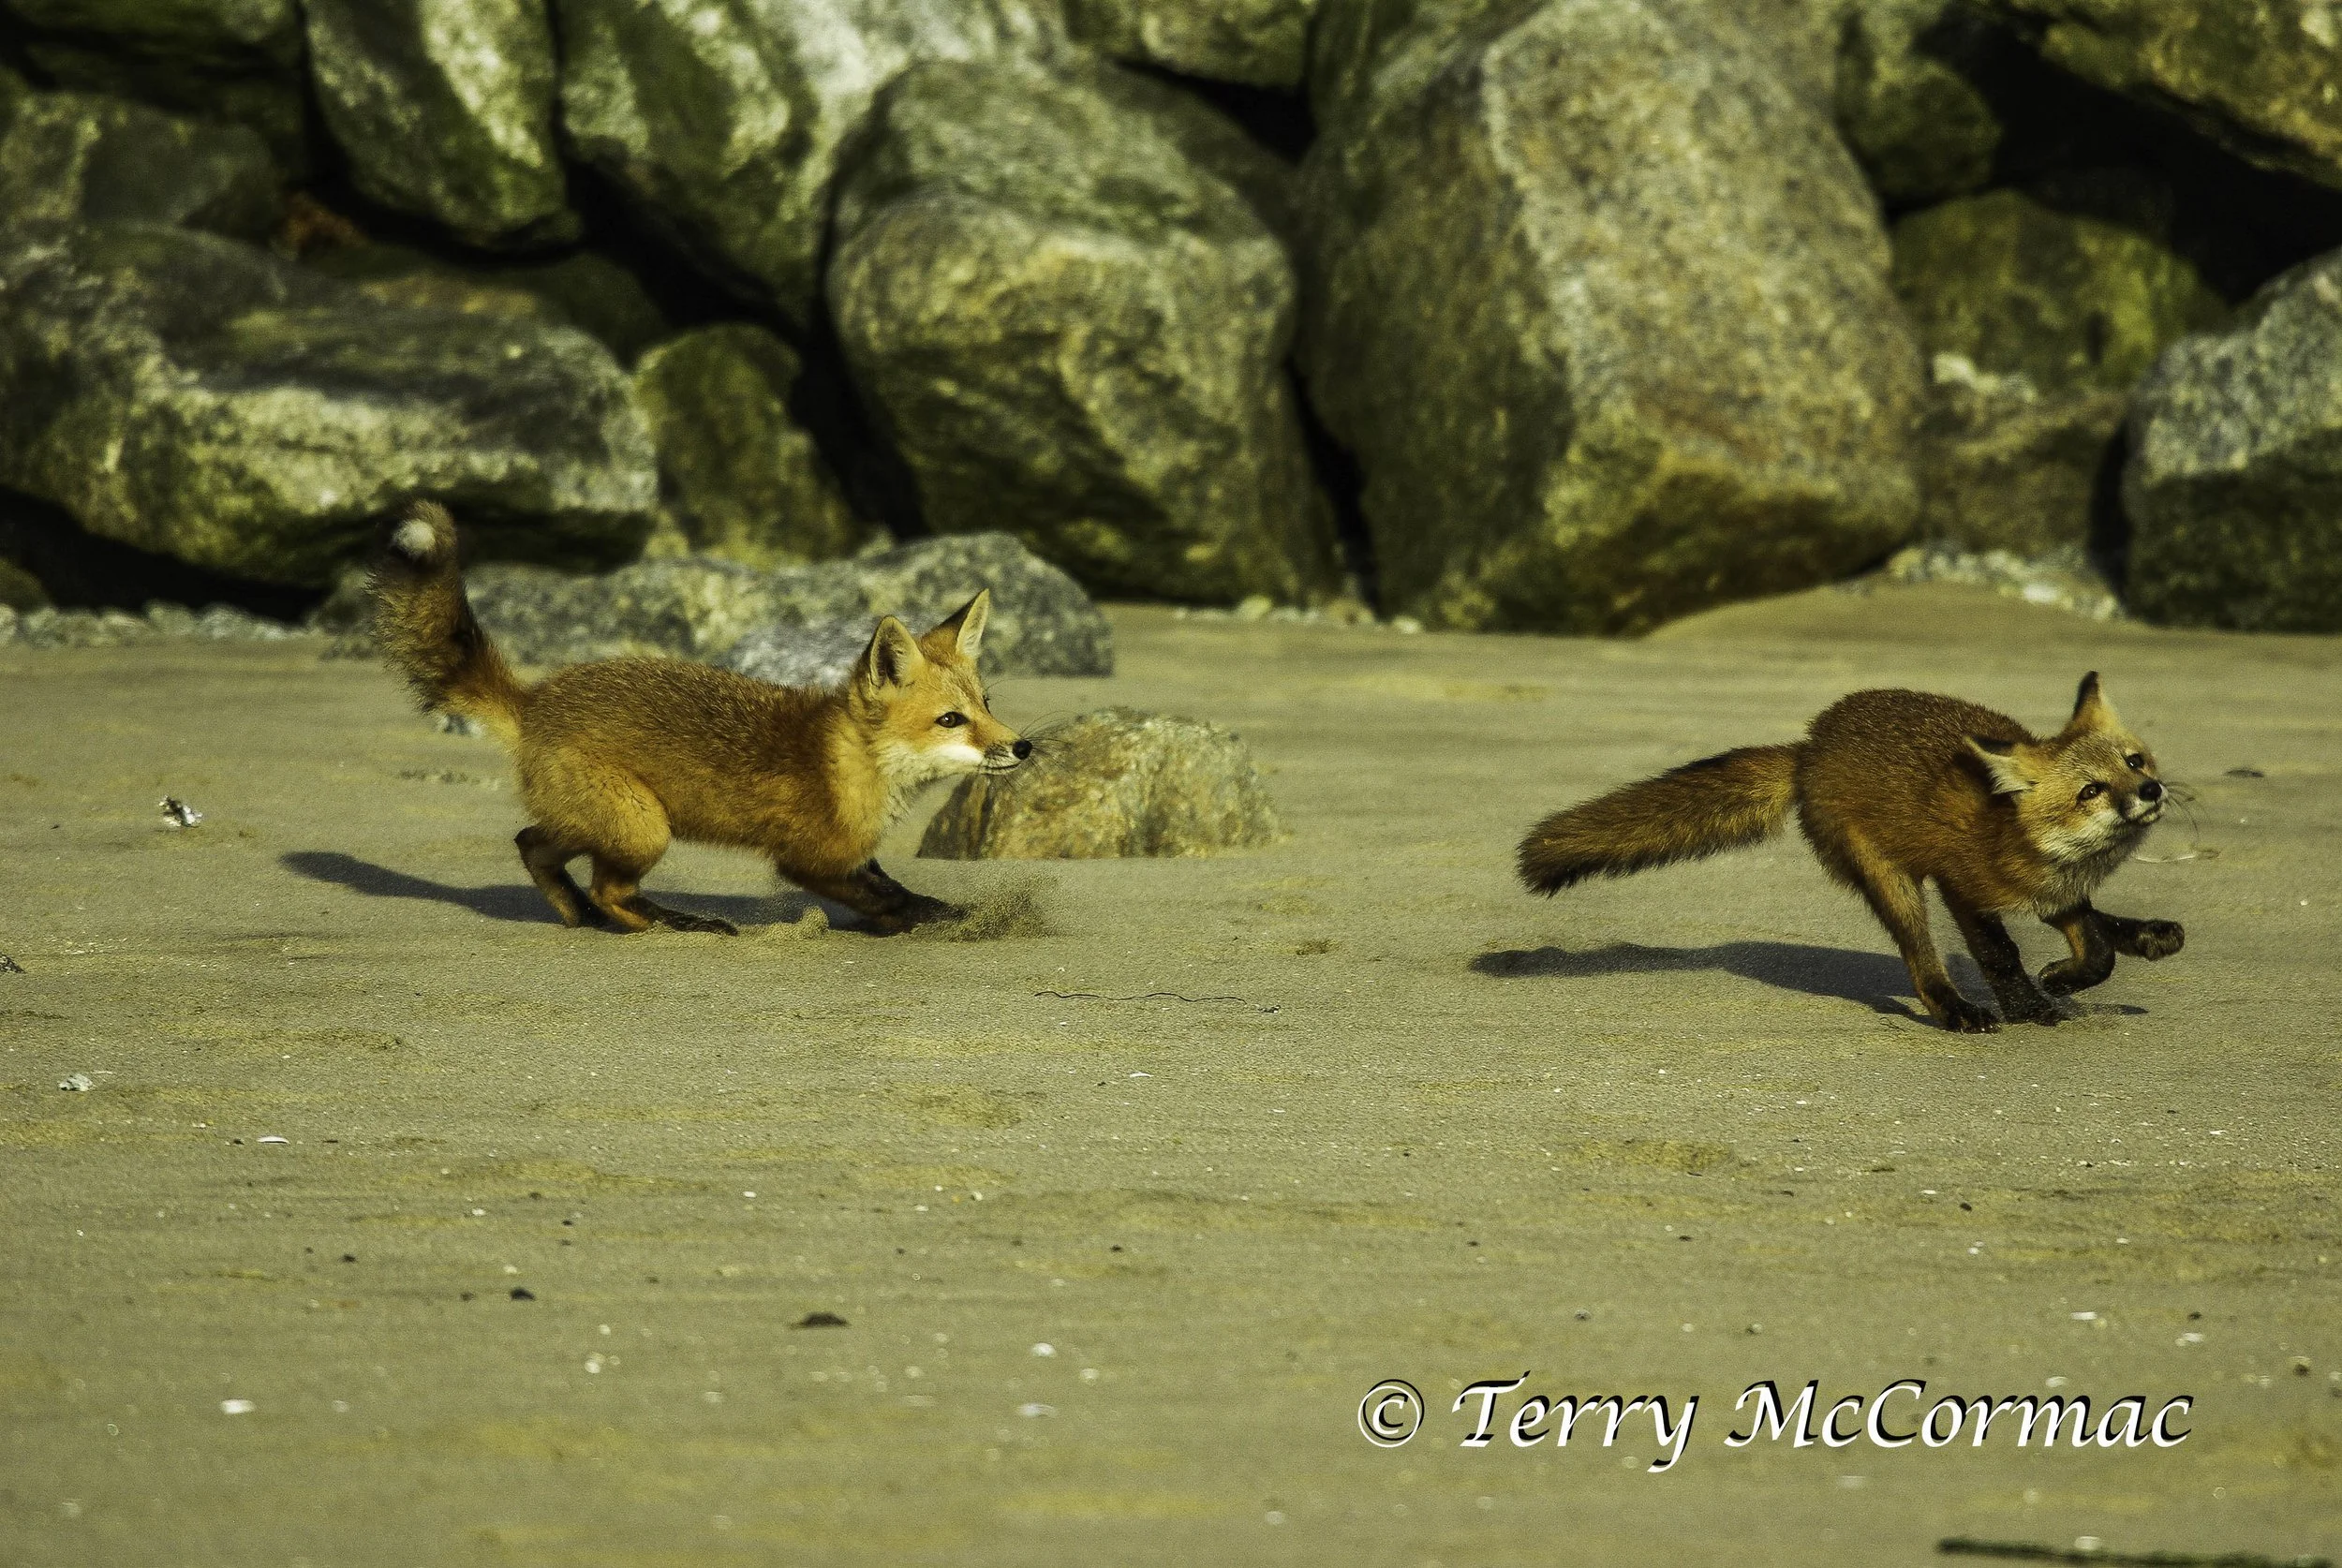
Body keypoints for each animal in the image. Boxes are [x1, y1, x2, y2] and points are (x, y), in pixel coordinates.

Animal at [369, 500, 1030, 935]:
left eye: (987, 706)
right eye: (951, 720)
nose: (1023, 747)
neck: (851, 763)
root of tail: (536, 700)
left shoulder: (854, 857)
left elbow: (892, 886)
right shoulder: (809, 860)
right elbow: (887, 899)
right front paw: (933, 920)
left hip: (601, 823)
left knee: (533, 845)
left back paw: (576, 913)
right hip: (643, 828)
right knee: (607, 888)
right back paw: (676, 922)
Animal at [1516, 674, 2184, 1033]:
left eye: (2134, 762)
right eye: (2090, 790)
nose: (2150, 791)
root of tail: (1811, 745)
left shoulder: (2057, 892)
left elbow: (2096, 944)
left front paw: (2072, 975)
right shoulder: (1962, 884)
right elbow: (2000, 953)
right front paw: (2027, 1004)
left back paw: (2151, 933)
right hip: (1892, 882)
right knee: (1920, 961)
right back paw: (1953, 1008)